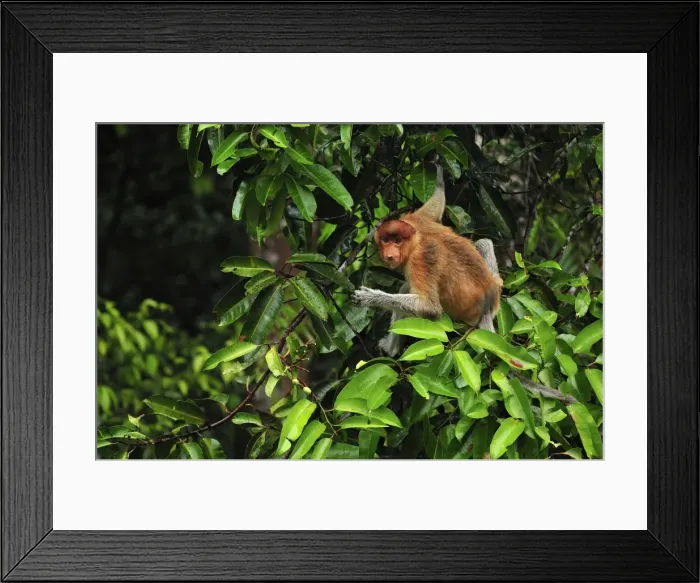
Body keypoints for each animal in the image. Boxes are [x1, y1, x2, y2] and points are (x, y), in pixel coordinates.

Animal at [352, 166, 502, 355]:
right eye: (386, 241)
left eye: (397, 241)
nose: (390, 255)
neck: (416, 240)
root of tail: (487, 308)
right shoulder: (416, 220)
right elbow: (435, 205)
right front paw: (439, 175)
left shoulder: (421, 259)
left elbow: (430, 307)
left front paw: (369, 297)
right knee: (483, 242)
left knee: (406, 288)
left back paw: (391, 349)